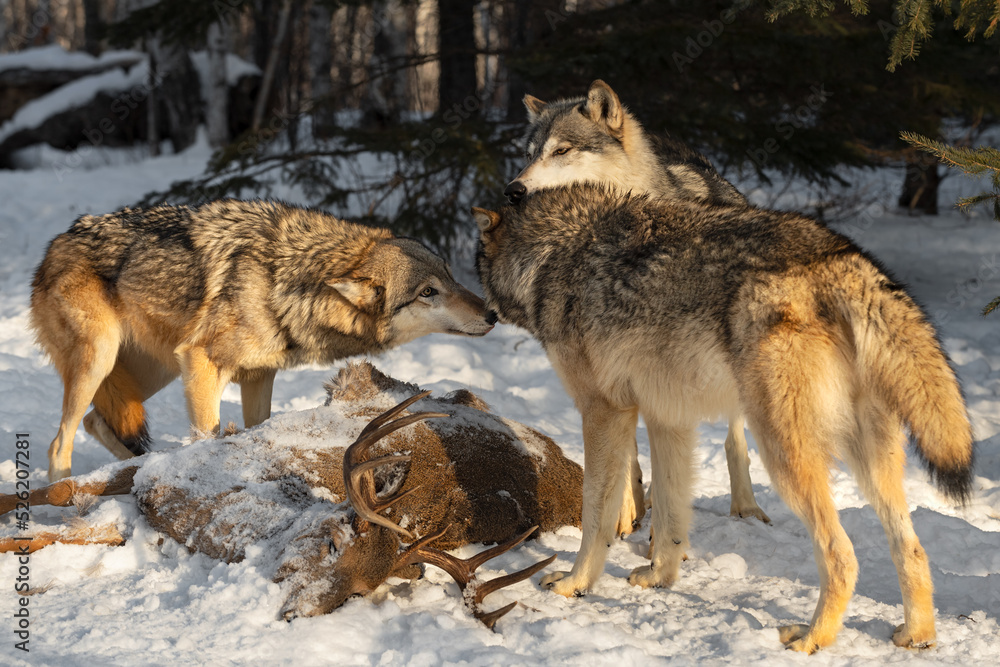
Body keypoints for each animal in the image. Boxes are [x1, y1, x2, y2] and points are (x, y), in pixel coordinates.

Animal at [0, 362, 583, 627]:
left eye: (358, 593)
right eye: (331, 544)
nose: (296, 615)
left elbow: (63, 529)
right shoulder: (166, 464)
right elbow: (62, 489)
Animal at [31, 199, 495, 482]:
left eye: (451, 276)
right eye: (428, 292)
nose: (492, 314)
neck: (285, 279)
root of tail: (56, 242)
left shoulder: (258, 377)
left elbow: (257, 432)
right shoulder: (203, 365)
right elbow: (208, 435)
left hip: (154, 372)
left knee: (96, 421)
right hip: (103, 360)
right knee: (58, 444)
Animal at [473, 184, 974, 653]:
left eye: (477, 263)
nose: (483, 314)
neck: (556, 253)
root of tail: (842, 260)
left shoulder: (604, 411)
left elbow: (597, 515)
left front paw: (574, 585)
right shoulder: (667, 418)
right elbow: (672, 514)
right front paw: (659, 579)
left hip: (782, 454)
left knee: (842, 554)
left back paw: (811, 638)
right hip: (870, 462)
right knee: (911, 548)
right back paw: (917, 636)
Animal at [505, 80, 767, 531]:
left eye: (561, 151)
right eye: (528, 155)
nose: (514, 191)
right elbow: (623, 452)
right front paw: (624, 512)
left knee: (735, 437)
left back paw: (745, 507)